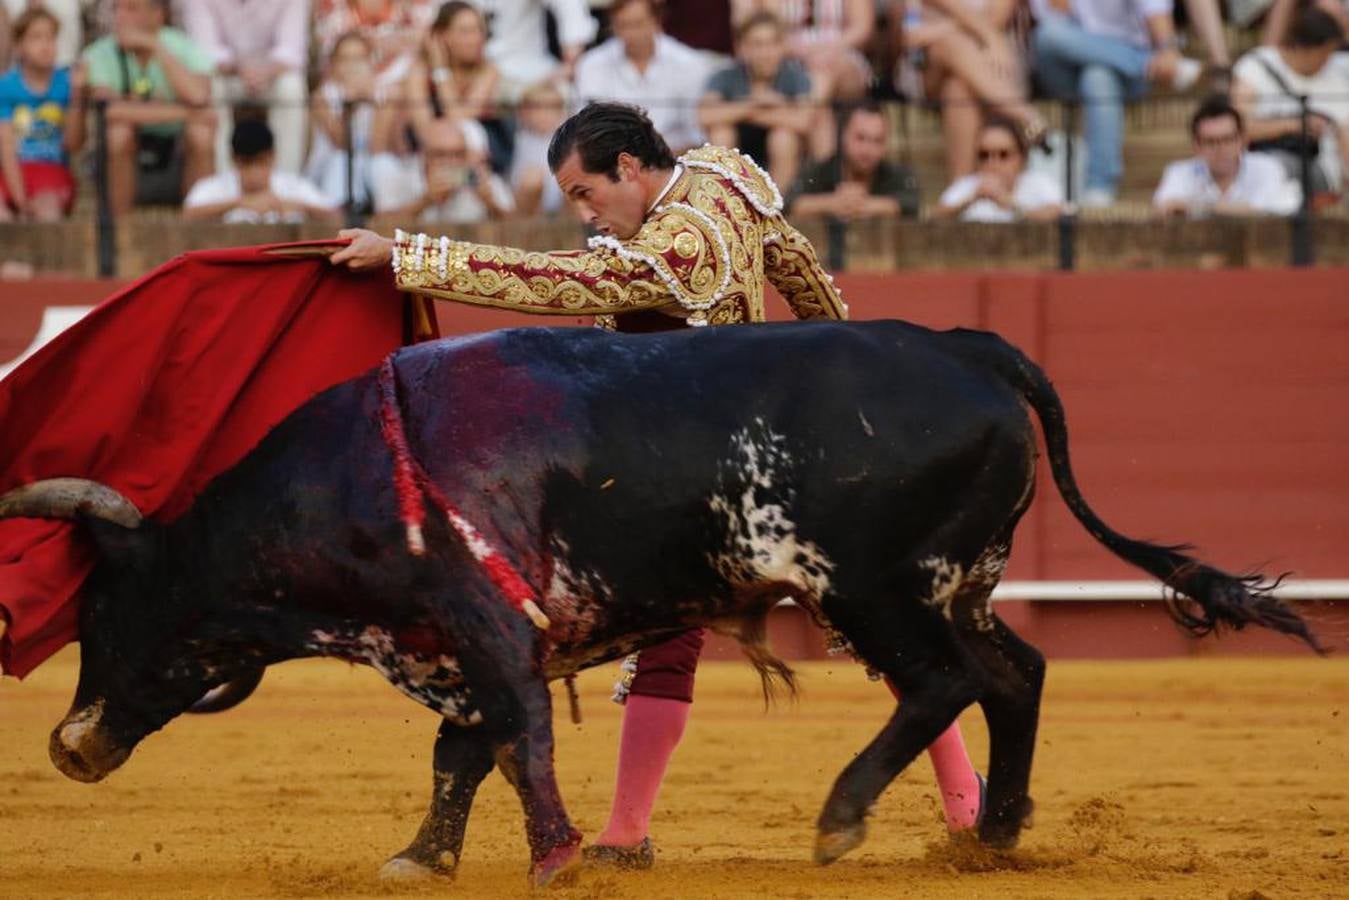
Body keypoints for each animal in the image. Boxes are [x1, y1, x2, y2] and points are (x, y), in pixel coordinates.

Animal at [0, 322, 1316, 885]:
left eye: (100, 616)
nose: (66, 746)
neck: (362, 475)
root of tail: (969, 346)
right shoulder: (455, 643)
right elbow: (456, 753)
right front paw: (421, 856)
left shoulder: (484, 630)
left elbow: (514, 743)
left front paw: (556, 858)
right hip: (960, 581)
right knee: (1014, 674)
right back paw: (990, 832)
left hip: (872, 589)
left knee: (945, 682)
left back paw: (842, 821)